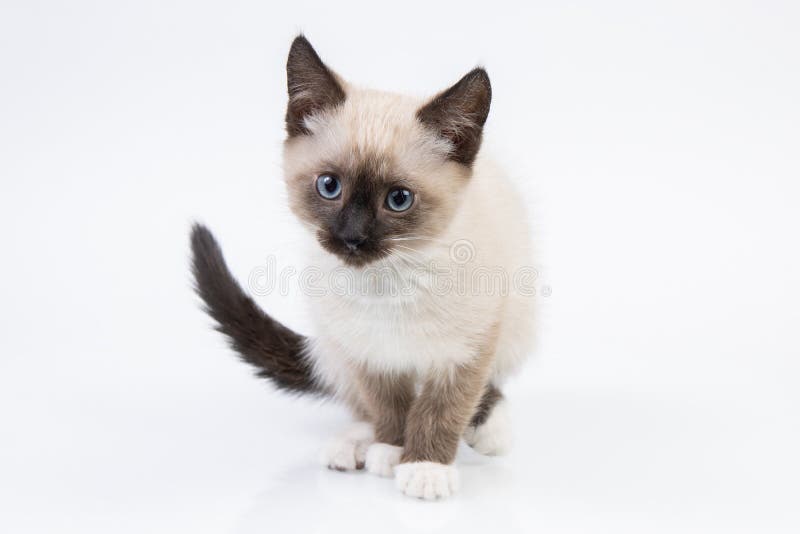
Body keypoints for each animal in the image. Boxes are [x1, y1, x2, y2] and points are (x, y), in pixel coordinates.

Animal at [191, 35, 536, 500]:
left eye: (399, 199)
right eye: (329, 186)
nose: (352, 238)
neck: (386, 282)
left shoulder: (465, 348)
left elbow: (441, 408)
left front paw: (424, 466)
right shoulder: (367, 352)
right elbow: (388, 406)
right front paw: (390, 450)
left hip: (517, 317)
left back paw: (489, 431)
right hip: (335, 344)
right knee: (360, 406)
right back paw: (354, 446)